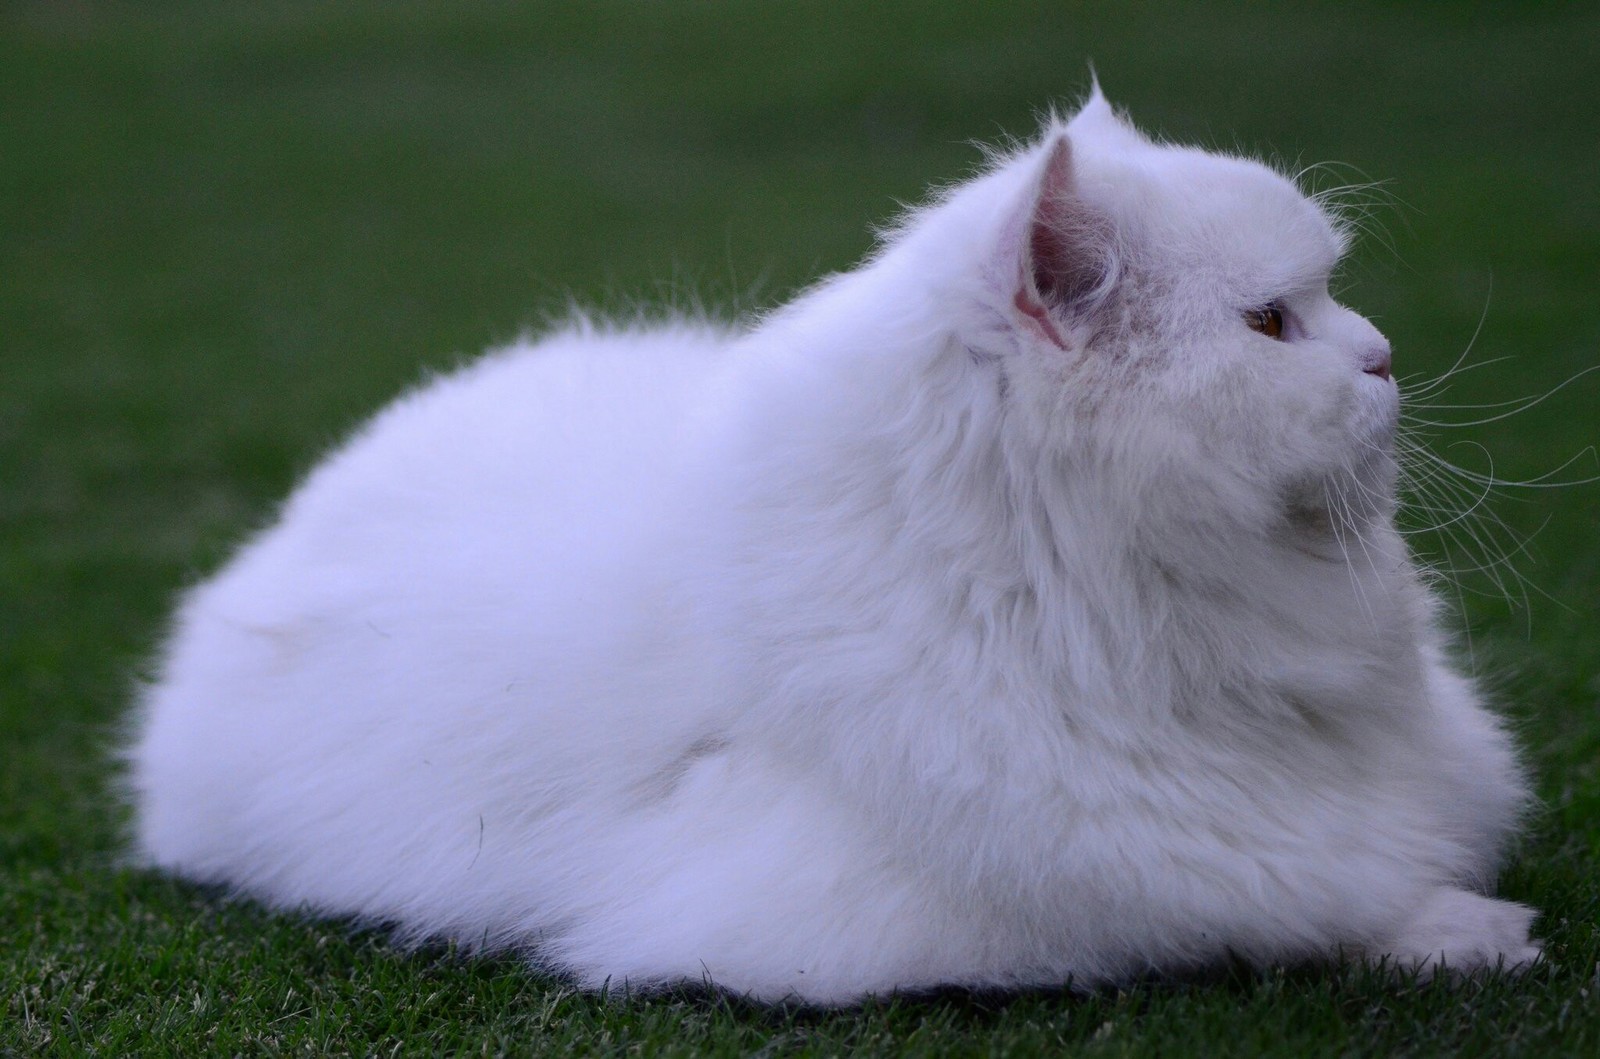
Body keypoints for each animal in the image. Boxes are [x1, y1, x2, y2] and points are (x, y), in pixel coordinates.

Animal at [124, 91, 1536, 1004]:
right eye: (1271, 324)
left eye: (1326, 307)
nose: (1384, 356)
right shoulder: (932, 917)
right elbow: (1260, 915)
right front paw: (1470, 933)